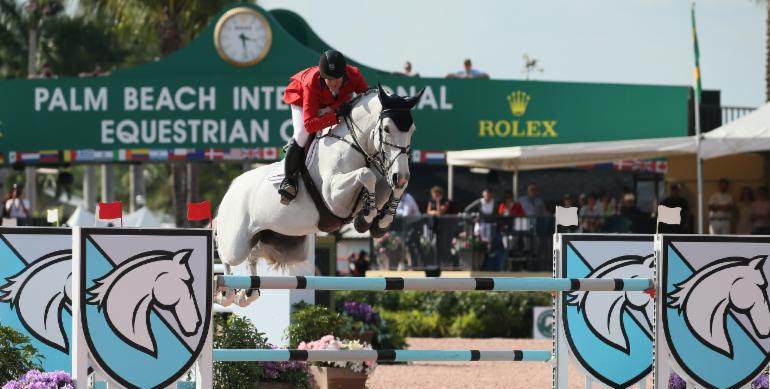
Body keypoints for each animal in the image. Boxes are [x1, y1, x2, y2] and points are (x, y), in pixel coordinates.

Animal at [213, 85, 424, 306]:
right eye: (387, 129)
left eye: (412, 131)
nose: (400, 175)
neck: (357, 146)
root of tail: (231, 189)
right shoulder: (333, 196)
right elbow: (366, 175)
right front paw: (366, 218)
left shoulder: (383, 182)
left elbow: (388, 187)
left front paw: (379, 221)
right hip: (236, 242)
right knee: (226, 255)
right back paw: (225, 293)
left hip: (277, 241)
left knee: (252, 257)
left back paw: (246, 293)